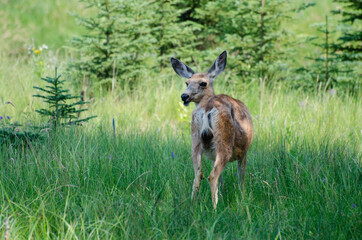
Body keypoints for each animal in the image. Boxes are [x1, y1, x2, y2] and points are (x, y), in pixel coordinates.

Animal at [171, 50, 253, 208]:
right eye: (187, 82)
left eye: (203, 83)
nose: (184, 96)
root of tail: (207, 107)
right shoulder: (244, 153)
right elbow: (241, 178)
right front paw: (242, 198)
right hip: (224, 141)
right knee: (212, 176)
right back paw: (215, 208)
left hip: (195, 140)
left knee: (198, 175)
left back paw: (192, 205)